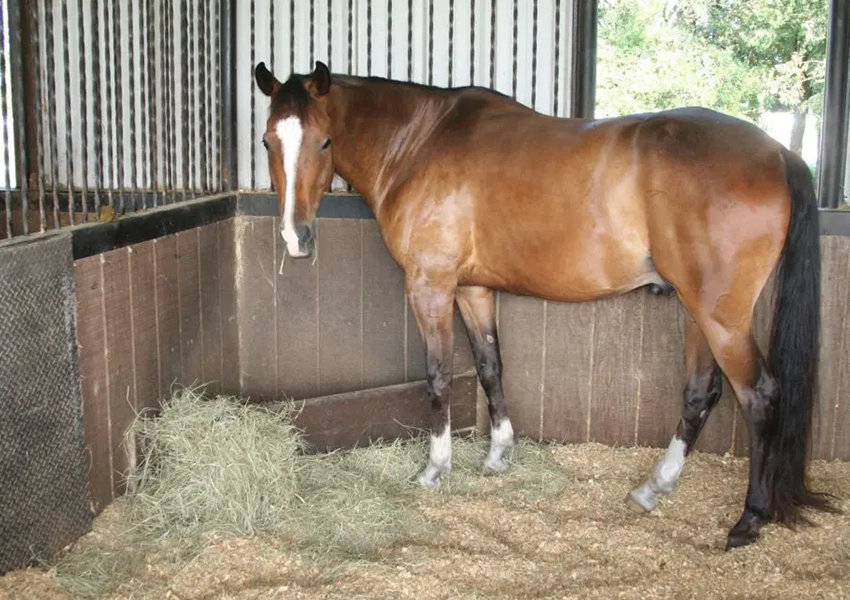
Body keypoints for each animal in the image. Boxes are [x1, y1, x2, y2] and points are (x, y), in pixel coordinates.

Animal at [252, 59, 836, 548]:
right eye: (266, 142)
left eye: (325, 142)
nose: (296, 237)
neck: (420, 142)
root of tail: (778, 152)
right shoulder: (474, 290)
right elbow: (490, 366)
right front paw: (499, 455)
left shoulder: (430, 286)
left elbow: (439, 378)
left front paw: (435, 469)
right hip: (699, 312)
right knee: (700, 393)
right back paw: (654, 488)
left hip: (721, 317)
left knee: (759, 396)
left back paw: (749, 518)